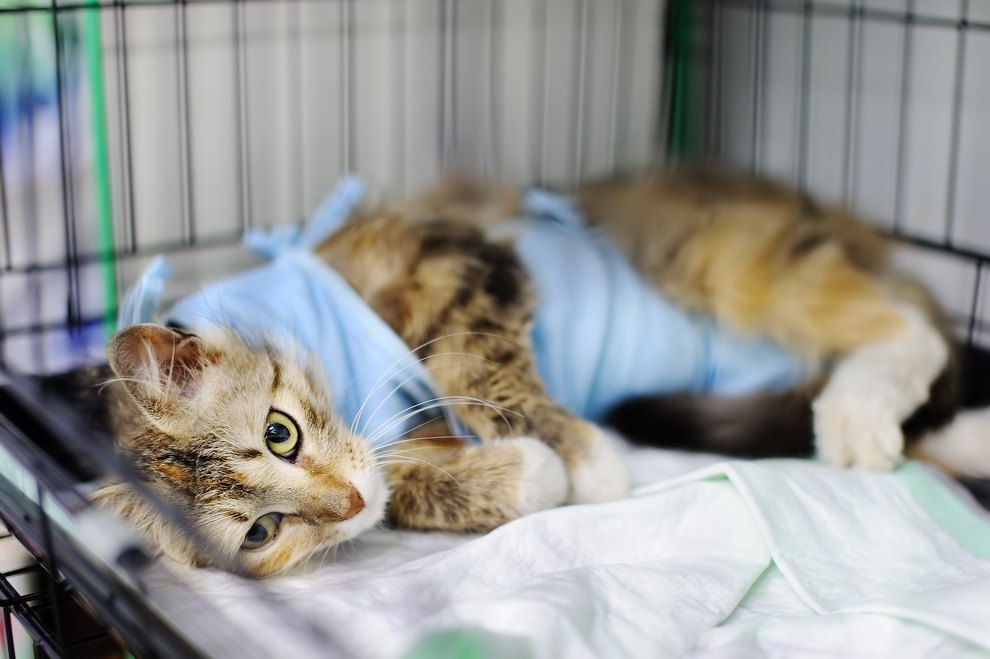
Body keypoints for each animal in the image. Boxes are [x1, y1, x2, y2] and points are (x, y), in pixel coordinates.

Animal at [77, 170, 984, 576]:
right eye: (262, 530)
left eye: (279, 432)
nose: (344, 505)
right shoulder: (385, 460)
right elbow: (403, 484)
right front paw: (526, 476)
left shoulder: (453, 259)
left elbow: (475, 361)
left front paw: (588, 458)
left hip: (716, 260)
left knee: (907, 328)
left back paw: (858, 416)